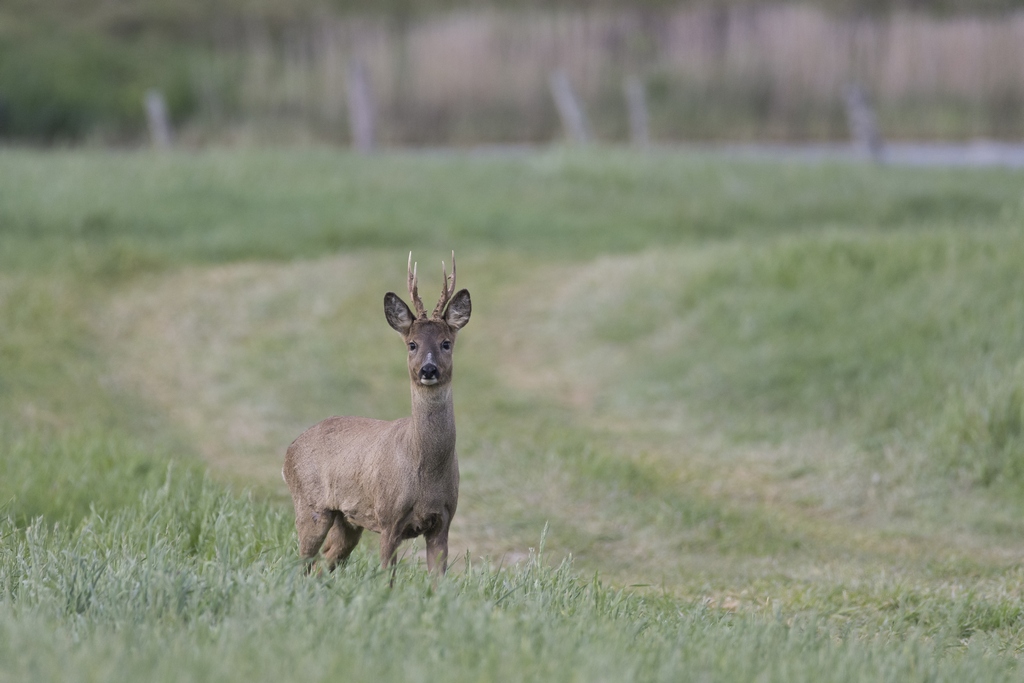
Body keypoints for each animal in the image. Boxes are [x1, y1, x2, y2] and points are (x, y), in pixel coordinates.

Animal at [282, 252, 468, 577]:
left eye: (446, 343)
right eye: (412, 344)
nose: (428, 369)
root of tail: (287, 453)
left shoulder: (443, 521)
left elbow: (438, 580)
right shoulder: (388, 518)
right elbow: (387, 576)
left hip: (346, 519)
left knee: (324, 561)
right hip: (310, 504)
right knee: (302, 561)